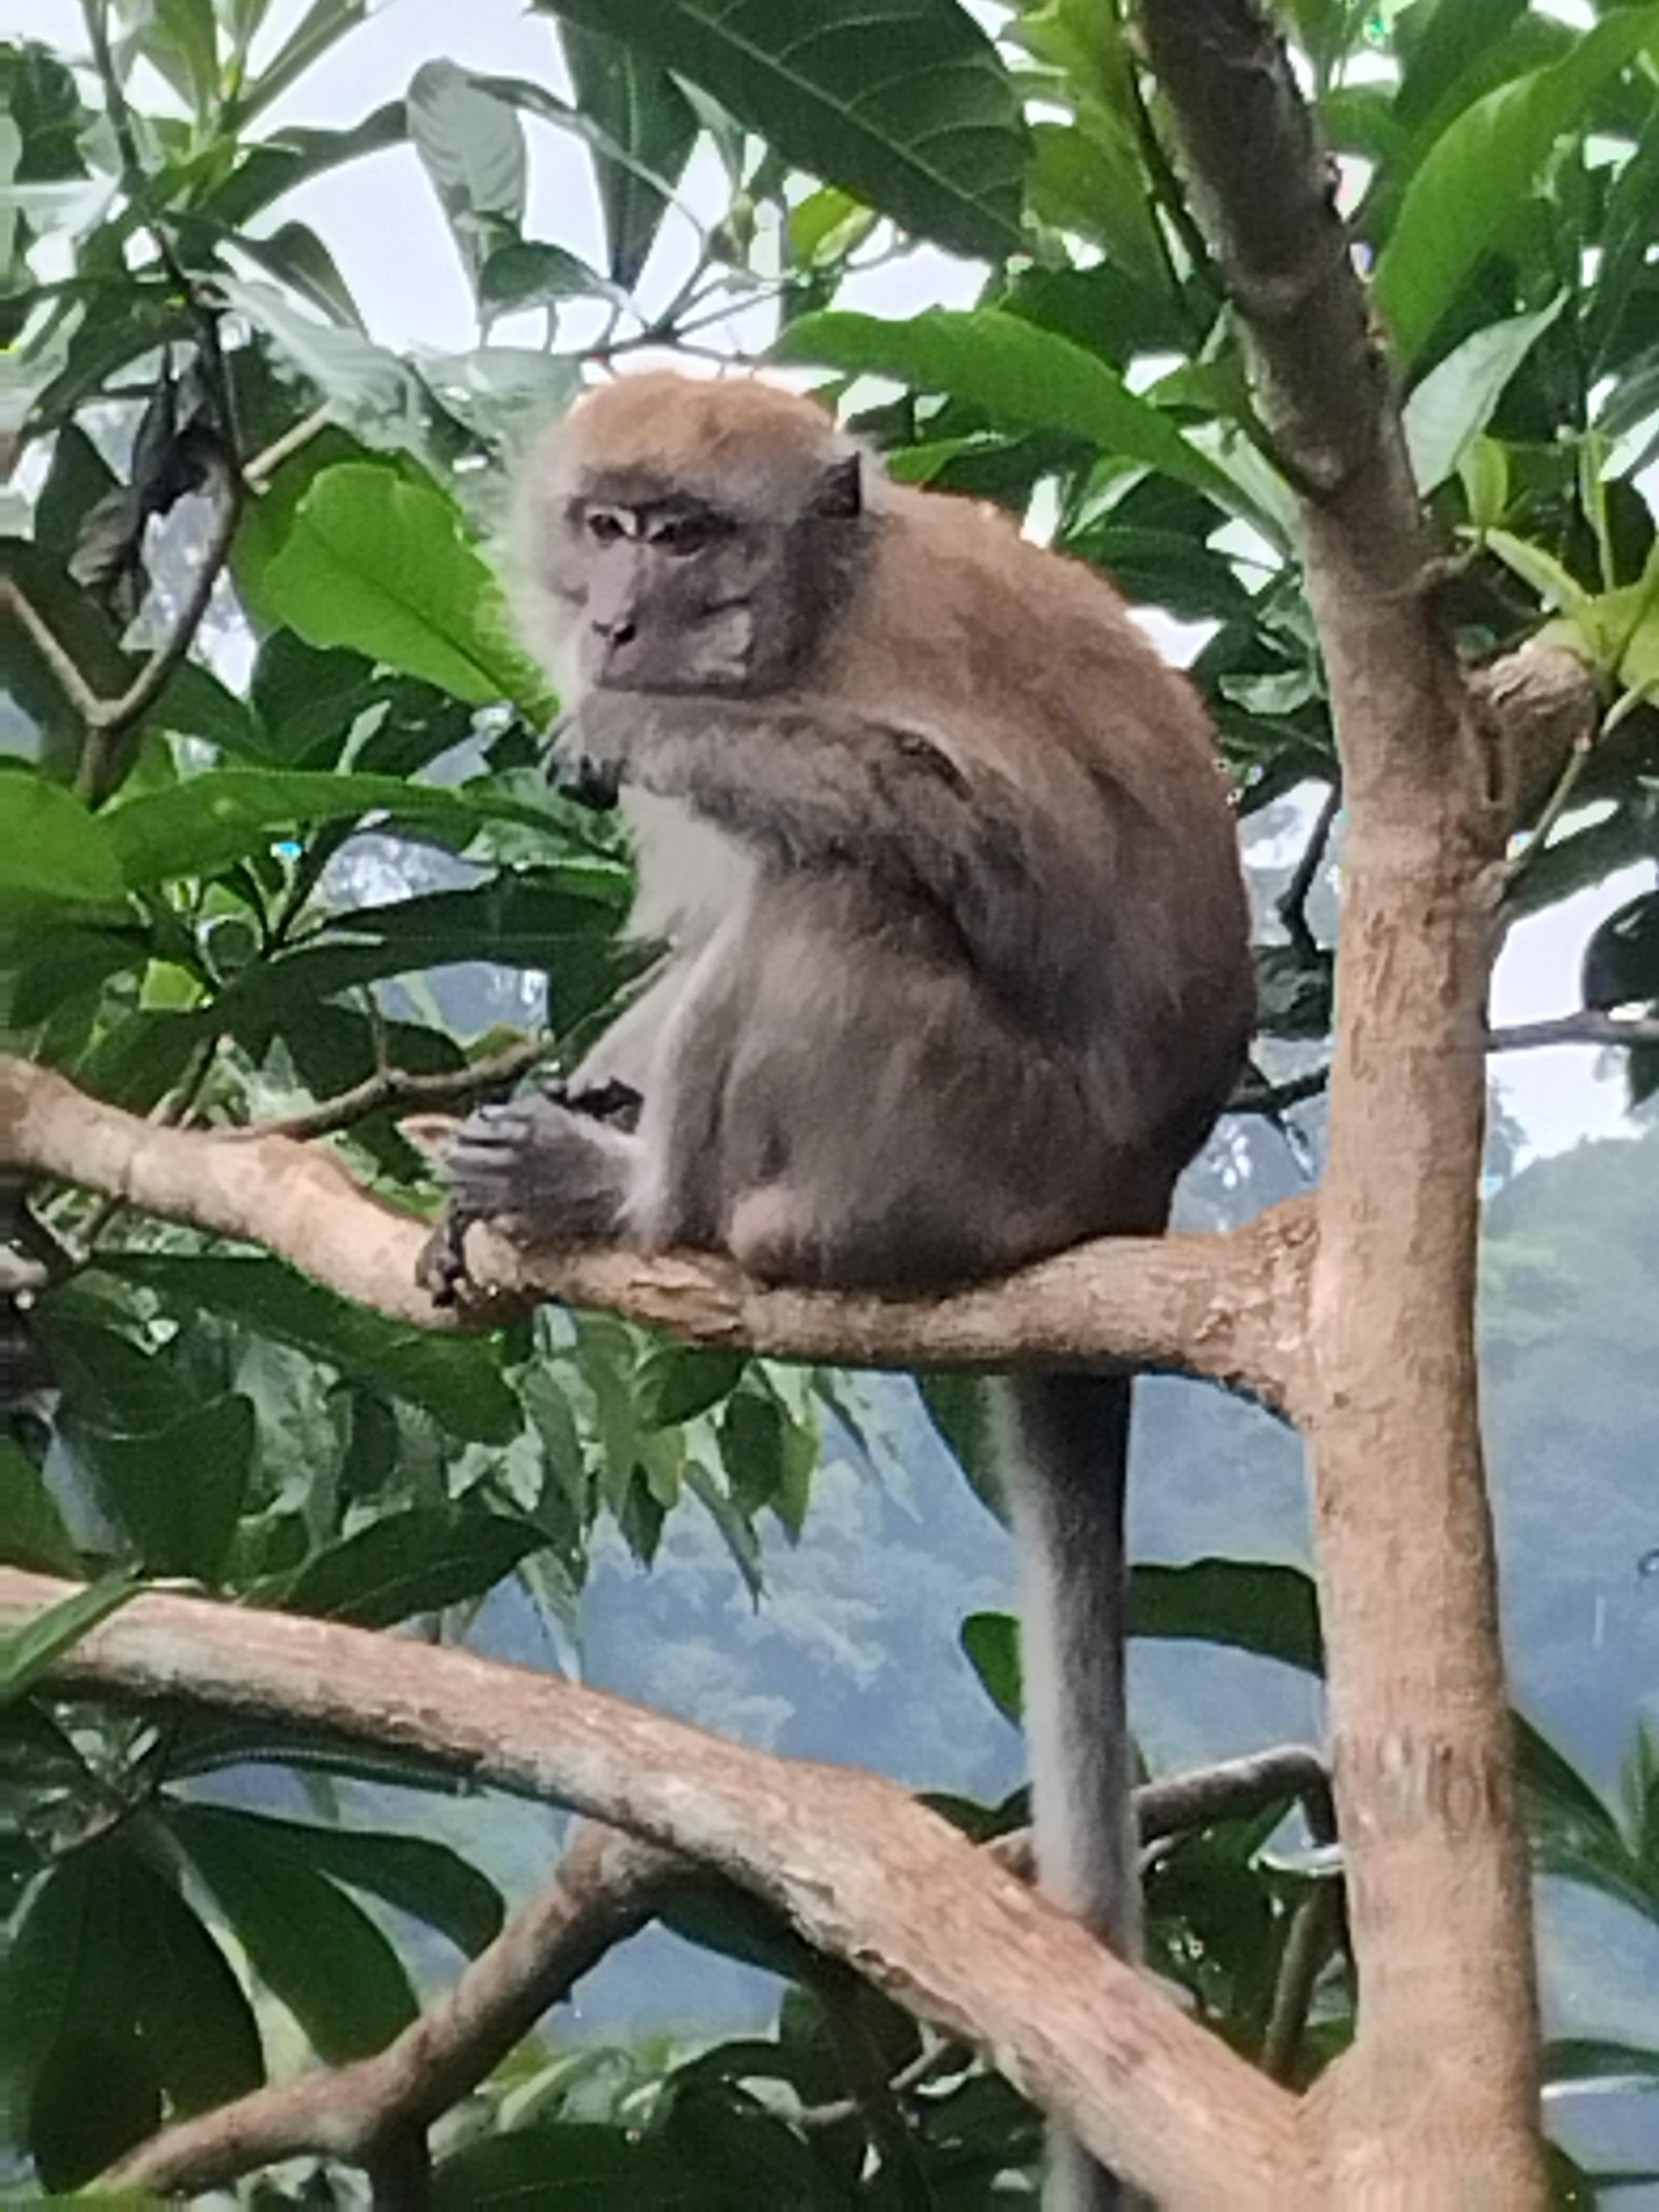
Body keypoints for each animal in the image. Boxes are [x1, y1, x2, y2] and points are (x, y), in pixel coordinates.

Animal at [425, 371, 1255, 2209]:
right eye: (609, 522)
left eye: (687, 536)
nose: (618, 617)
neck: (809, 620)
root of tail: (1128, 1198)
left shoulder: (896, 665)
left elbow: (987, 853)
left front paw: (642, 726)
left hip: (966, 1149)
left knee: (844, 882)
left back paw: (655, 1203)